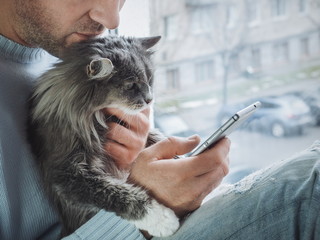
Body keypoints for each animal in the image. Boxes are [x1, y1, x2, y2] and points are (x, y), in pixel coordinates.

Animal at [28, 34, 180, 237]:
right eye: (131, 85)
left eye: (150, 79)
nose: (149, 99)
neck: (96, 117)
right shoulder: (68, 174)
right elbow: (118, 194)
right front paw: (162, 219)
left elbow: (155, 137)